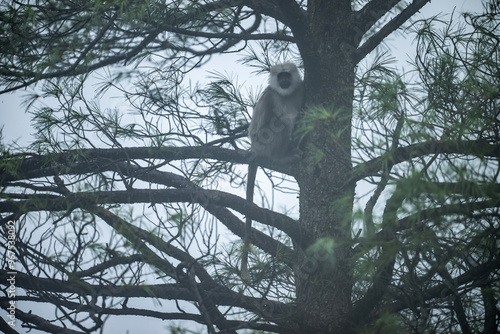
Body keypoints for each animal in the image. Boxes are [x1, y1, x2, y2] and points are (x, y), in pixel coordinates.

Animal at [242, 62, 304, 280]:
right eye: (280, 77)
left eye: (287, 76)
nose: (284, 81)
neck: (285, 94)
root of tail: (255, 149)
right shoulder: (269, 96)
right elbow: (270, 120)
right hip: (265, 144)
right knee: (278, 122)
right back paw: (284, 156)